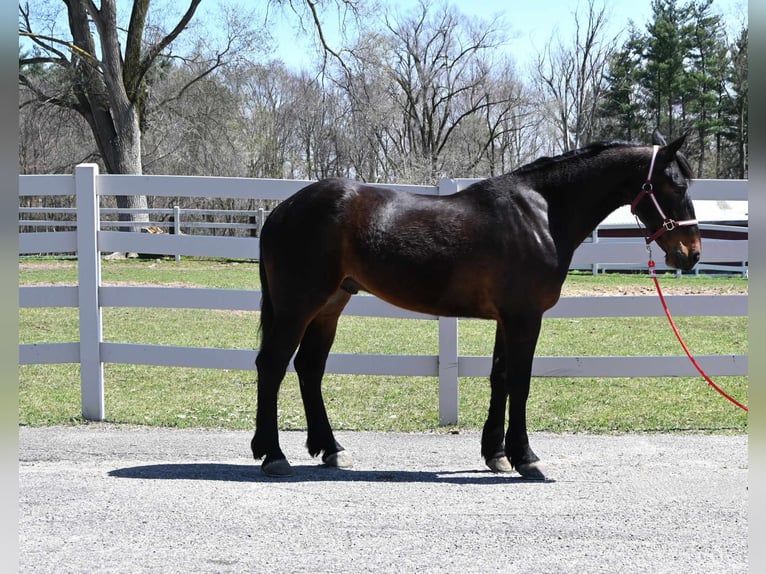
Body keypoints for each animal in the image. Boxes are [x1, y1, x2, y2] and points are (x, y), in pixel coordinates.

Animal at [252, 130, 704, 482]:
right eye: (677, 187)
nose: (692, 253)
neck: (541, 214)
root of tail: (281, 210)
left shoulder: (508, 318)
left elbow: (499, 378)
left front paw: (497, 454)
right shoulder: (525, 317)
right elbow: (520, 381)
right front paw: (527, 458)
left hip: (330, 306)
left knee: (309, 368)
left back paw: (330, 448)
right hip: (298, 306)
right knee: (272, 365)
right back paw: (273, 454)